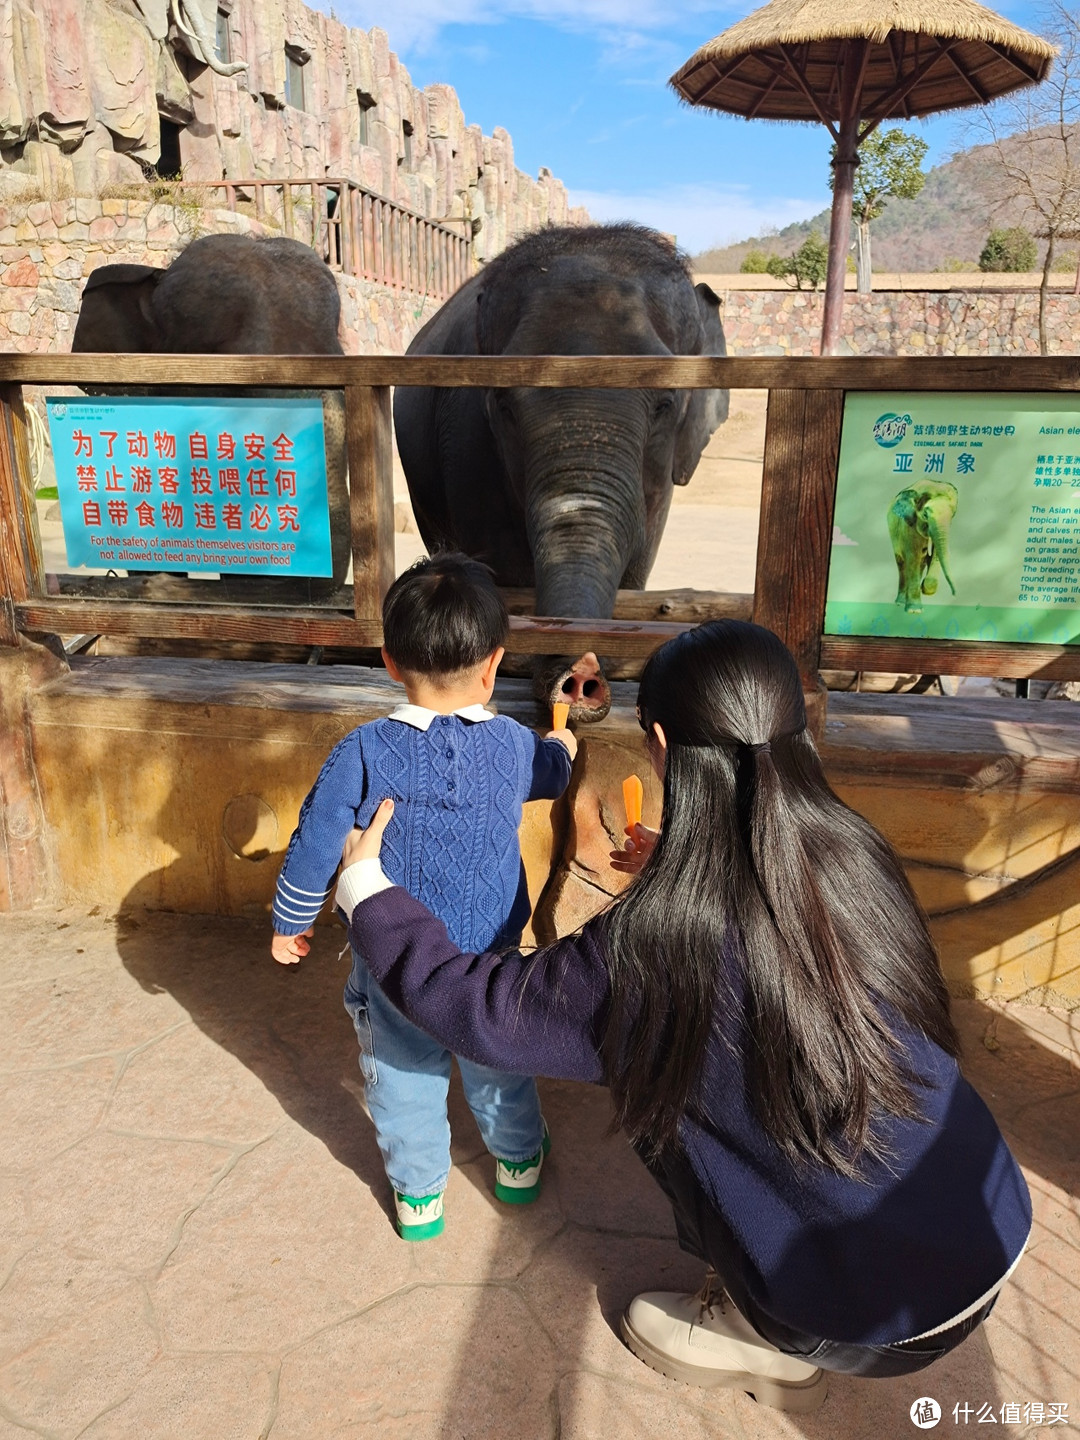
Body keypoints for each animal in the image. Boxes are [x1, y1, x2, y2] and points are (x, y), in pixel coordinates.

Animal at [892, 480, 961, 610]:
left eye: (952, 515)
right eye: (925, 515)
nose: (955, 594)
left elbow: (934, 554)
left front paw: (924, 588)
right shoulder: (908, 527)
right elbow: (913, 556)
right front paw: (914, 610)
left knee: (921, 562)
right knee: (901, 564)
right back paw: (900, 603)